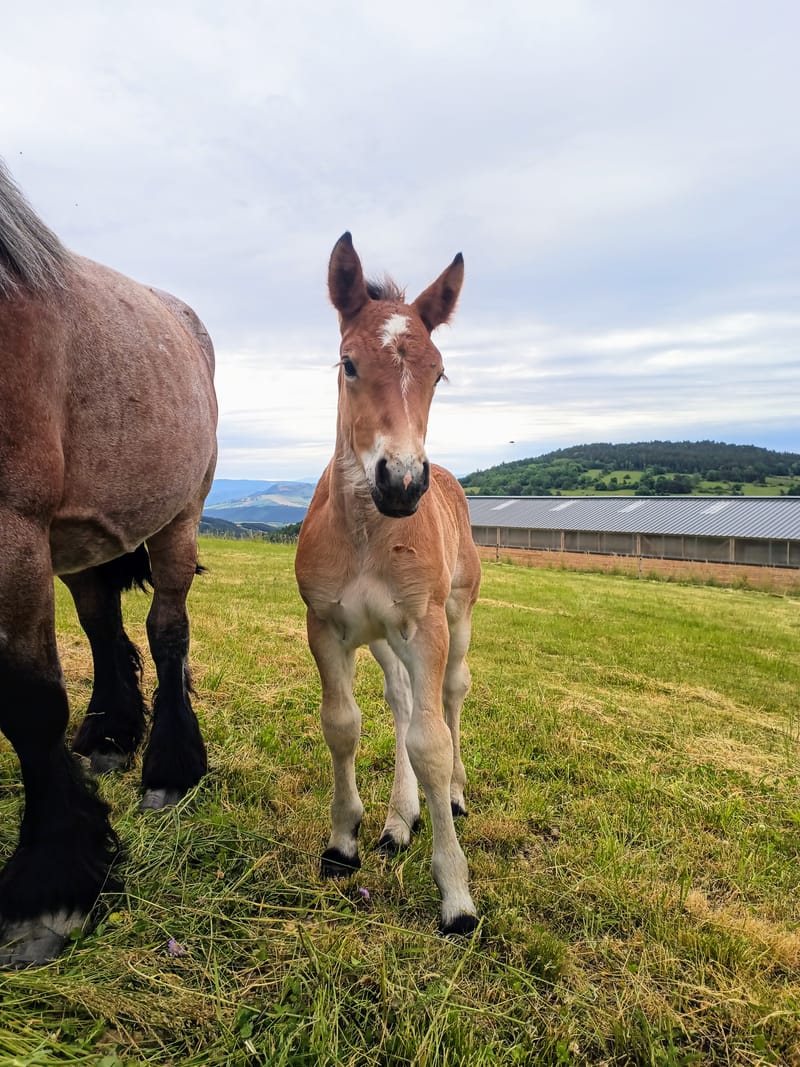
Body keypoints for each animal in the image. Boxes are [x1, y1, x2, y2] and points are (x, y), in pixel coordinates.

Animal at [0, 160, 217, 968]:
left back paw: (170, 768)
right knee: (101, 626)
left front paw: (47, 891)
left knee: (166, 630)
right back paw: (111, 733)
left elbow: (28, 704)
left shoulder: (12, 528)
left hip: (178, 519)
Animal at [296, 233, 480, 934]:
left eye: (438, 372)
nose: (401, 483)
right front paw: (342, 842)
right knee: (402, 701)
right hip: (381, 638)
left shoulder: (423, 626)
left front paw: (456, 897)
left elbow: (431, 742)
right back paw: (401, 819)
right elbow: (343, 724)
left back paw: (450, 796)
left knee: (448, 697)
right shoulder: (328, 625)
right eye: (348, 364)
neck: (369, 539)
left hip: (455, 615)